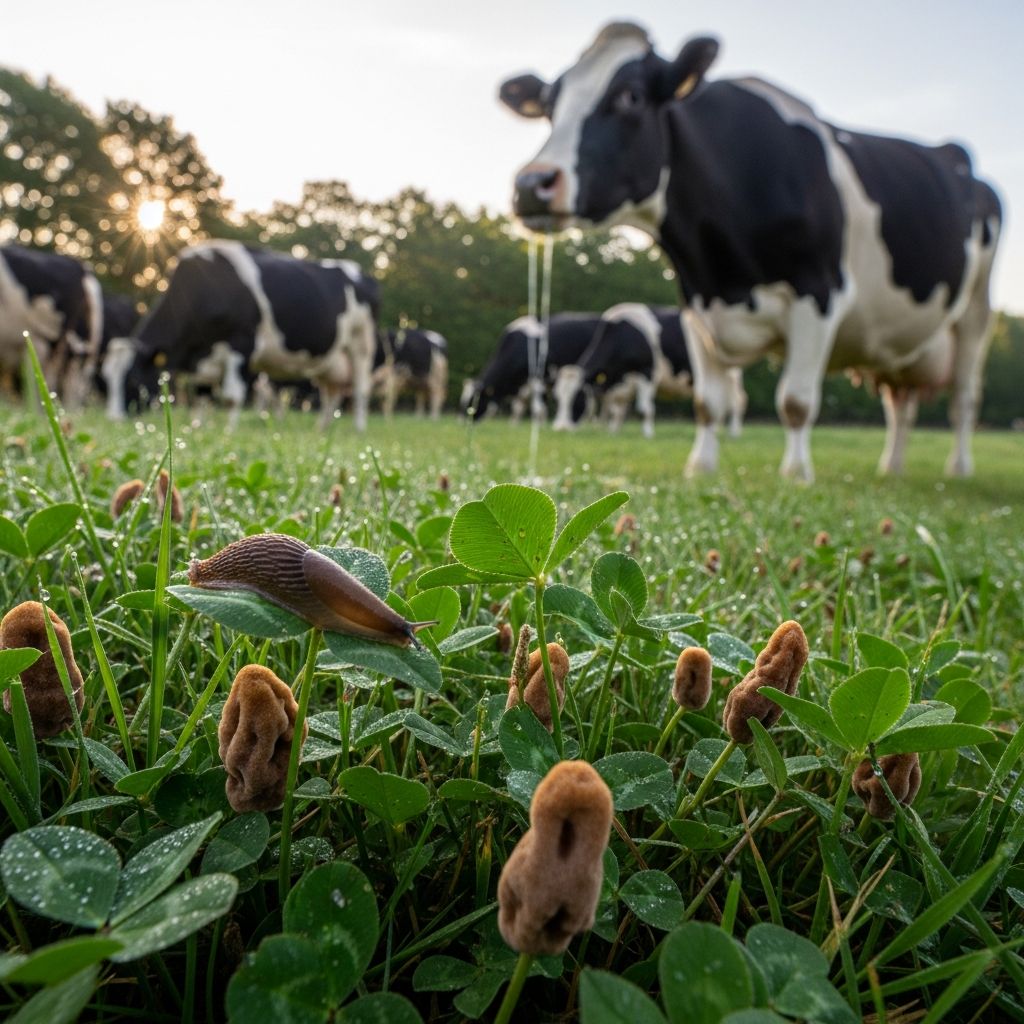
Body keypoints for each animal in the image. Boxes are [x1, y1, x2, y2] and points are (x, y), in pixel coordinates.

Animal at [102, 240, 379, 430]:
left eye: (133, 380)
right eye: (105, 380)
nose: (113, 419)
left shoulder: (241, 344)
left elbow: (231, 397)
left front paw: (228, 432)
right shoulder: (203, 357)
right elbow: (200, 398)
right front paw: (197, 428)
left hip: (361, 343)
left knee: (360, 389)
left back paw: (359, 428)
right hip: (331, 360)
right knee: (331, 394)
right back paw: (322, 429)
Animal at [462, 313, 603, 421]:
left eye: (472, 402)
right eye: (462, 401)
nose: (463, 422)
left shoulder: (539, 377)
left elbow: (539, 409)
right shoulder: (524, 385)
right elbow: (518, 407)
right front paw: (514, 425)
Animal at [553, 303, 746, 438]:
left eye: (578, 397)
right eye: (557, 398)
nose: (560, 429)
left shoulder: (647, 370)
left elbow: (644, 408)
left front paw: (647, 433)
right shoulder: (621, 381)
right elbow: (617, 408)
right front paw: (614, 431)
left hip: (731, 374)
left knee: (736, 401)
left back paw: (733, 432)